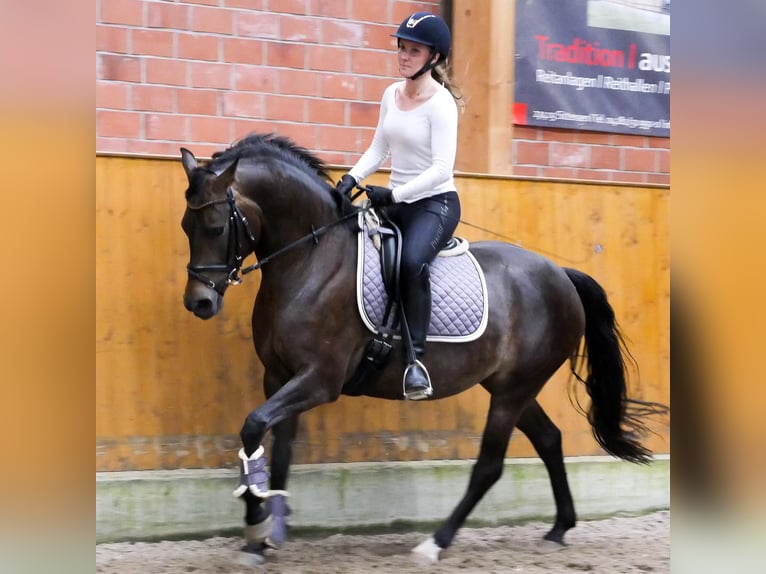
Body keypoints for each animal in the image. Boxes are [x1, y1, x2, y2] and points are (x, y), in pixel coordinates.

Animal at [179, 133, 664, 564]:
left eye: (216, 227)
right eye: (186, 226)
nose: (198, 303)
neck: (312, 262)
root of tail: (561, 274)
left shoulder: (319, 380)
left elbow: (253, 427)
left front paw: (256, 522)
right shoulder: (279, 376)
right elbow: (277, 450)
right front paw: (267, 532)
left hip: (513, 390)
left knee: (490, 465)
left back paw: (436, 543)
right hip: (509, 386)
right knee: (549, 438)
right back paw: (560, 528)